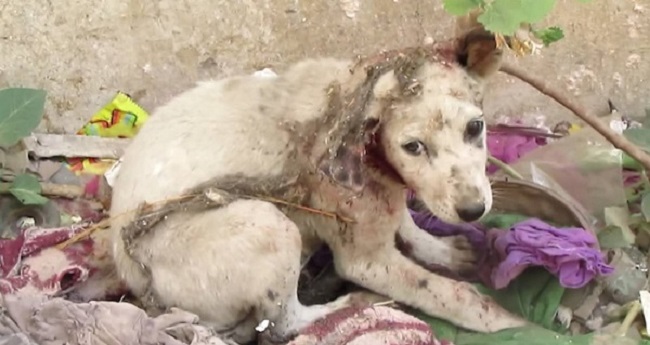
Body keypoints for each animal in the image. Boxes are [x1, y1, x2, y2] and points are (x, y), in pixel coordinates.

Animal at [109, 10, 528, 344]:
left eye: (476, 127)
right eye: (413, 147)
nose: (474, 211)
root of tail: (134, 280)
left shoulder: (386, 199)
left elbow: (406, 223)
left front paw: (442, 250)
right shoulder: (365, 262)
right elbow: (446, 291)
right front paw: (504, 321)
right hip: (266, 224)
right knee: (283, 324)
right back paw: (350, 303)